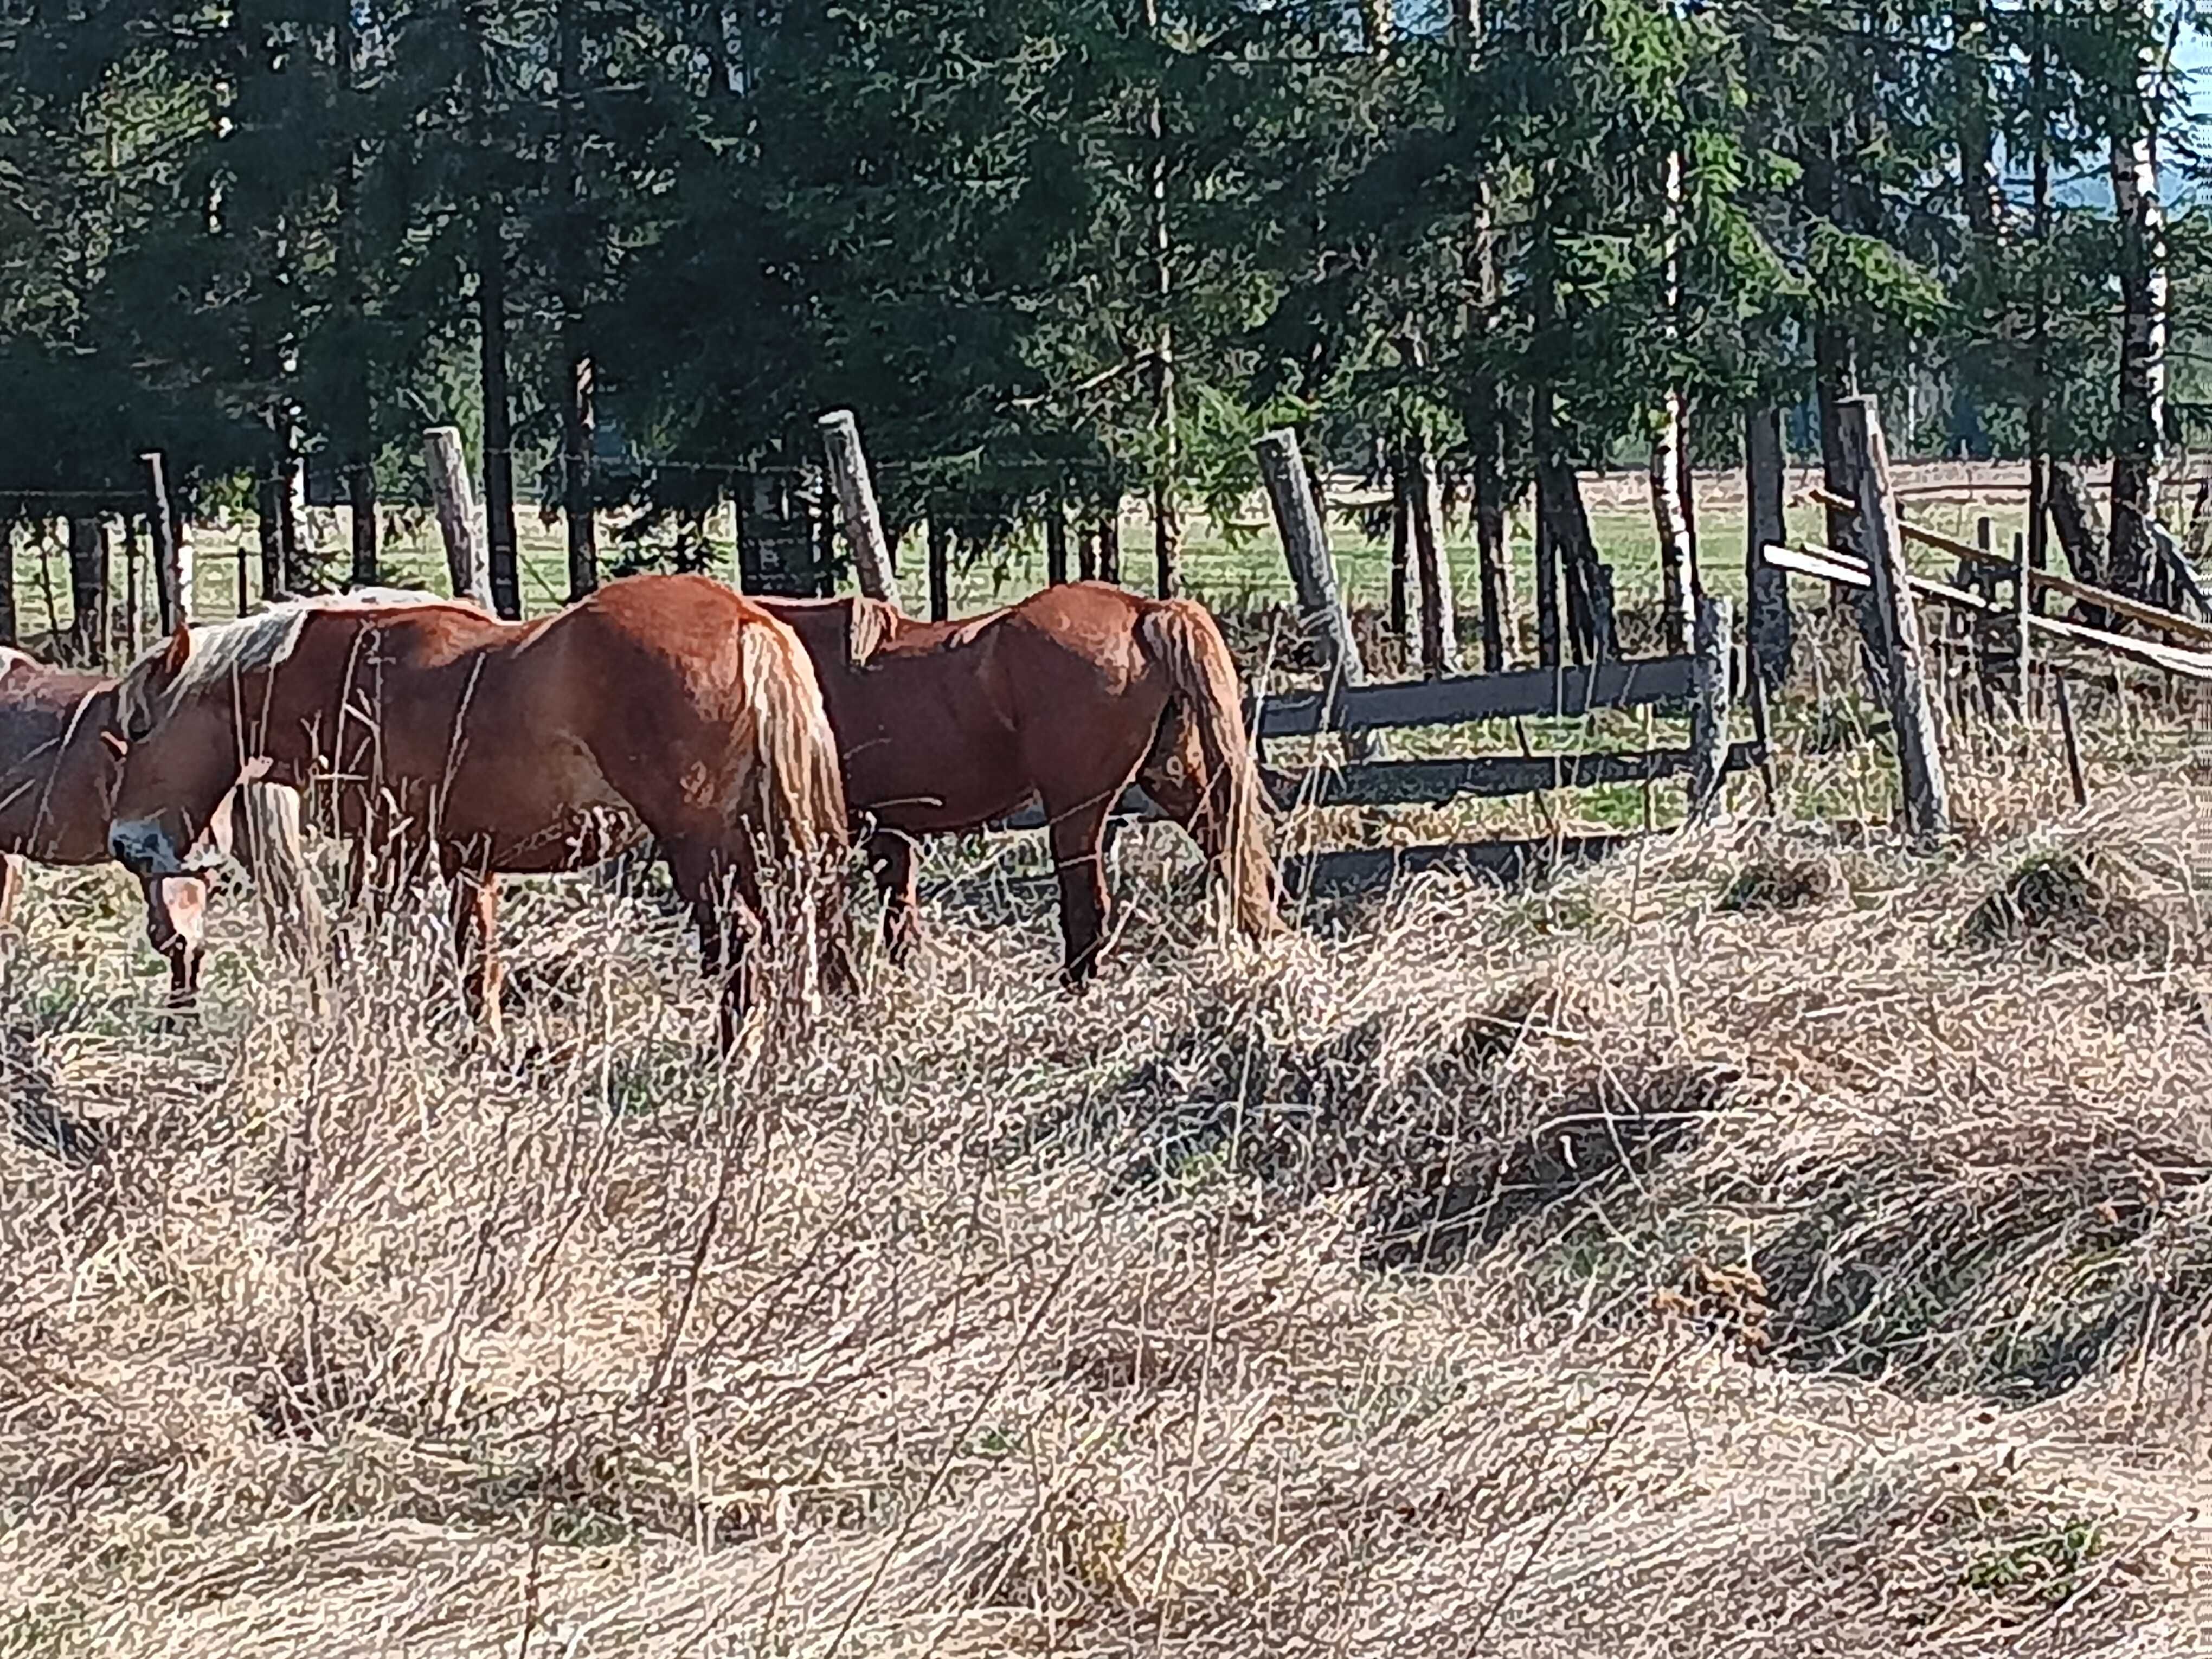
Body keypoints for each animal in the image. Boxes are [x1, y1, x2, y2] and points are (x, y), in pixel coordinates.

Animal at [107, 570, 858, 1039]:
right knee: (796, 927)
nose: (125, 843)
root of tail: (746, 620)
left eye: (139, 727)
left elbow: (360, 940)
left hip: (702, 845)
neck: (362, 675)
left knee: (741, 939)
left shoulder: (394, 848)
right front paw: (488, 1047)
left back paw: (729, 1055)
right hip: (768, 842)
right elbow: (478, 959)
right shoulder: (468, 856)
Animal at [756, 579, 1283, 982]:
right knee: (1237, 862)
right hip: (1176, 782)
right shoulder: (888, 828)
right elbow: (899, 916)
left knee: (1088, 907)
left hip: (1076, 810)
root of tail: (1144, 611)